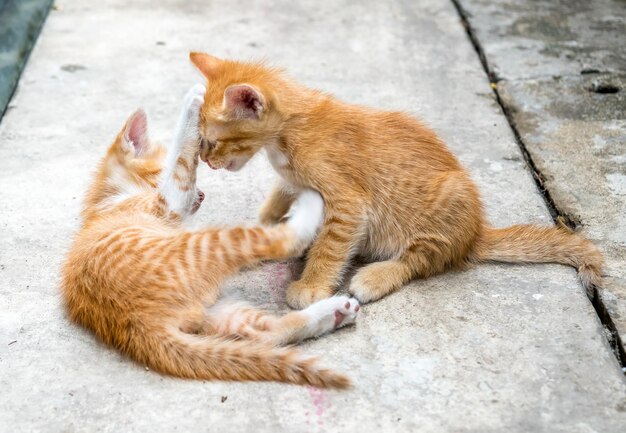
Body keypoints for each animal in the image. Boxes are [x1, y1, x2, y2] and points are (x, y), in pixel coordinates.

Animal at [62, 85, 360, 388]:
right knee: (285, 241)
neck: (109, 201)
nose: (203, 195)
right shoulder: (169, 202)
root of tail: (136, 325)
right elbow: (180, 163)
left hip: (216, 309)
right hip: (209, 245)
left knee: (264, 333)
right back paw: (310, 202)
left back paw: (335, 313)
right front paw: (192, 103)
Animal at [189, 53, 600, 308]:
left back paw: (377, 276)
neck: (286, 138)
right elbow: (276, 203)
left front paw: (311, 285)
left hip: (445, 205)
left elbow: (331, 246)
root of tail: (475, 234)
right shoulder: (292, 181)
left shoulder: (348, 202)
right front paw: (260, 234)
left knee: (422, 260)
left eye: (212, 140)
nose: (206, 160)